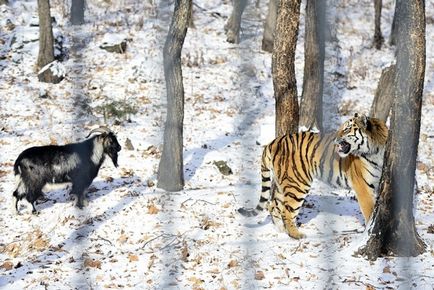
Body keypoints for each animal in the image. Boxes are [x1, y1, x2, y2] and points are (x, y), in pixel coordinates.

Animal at [239, 112, 388, 238]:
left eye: (346, 129)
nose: (335, 139)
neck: (376, 151)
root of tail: (273, 142)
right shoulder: (362, 186)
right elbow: (369, 211)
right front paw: (367, 232)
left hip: (283, 184)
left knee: (274, 205)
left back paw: (281, 231)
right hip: (297, 184)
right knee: (286, 211)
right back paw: (296, 235)